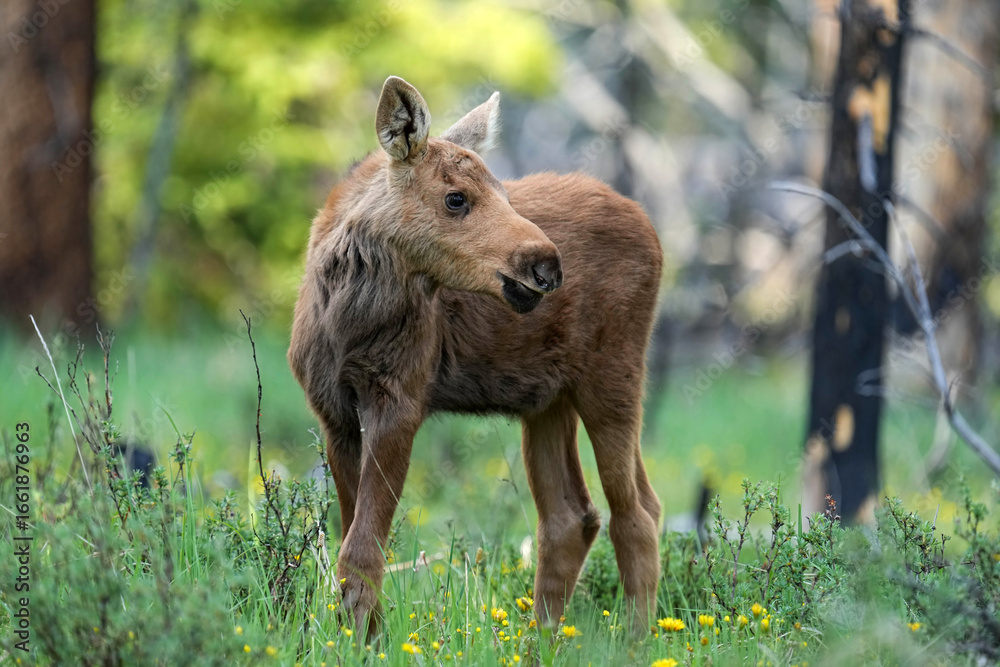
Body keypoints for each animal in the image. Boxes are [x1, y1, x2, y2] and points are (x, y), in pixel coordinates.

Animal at [288, 76, 663, 638]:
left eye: (504, 192)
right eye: (456, 198)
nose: (546, 265)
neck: (347, 322)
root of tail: (655, 234)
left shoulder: (401, 400)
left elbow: (361, 552)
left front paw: (360, 641)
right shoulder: (334, 413)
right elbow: (354, 540)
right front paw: (364, 638)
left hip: (613, 376)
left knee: (635, 514)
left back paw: (635, 642)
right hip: (547, 399)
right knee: (573, 517)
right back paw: (541, 642)